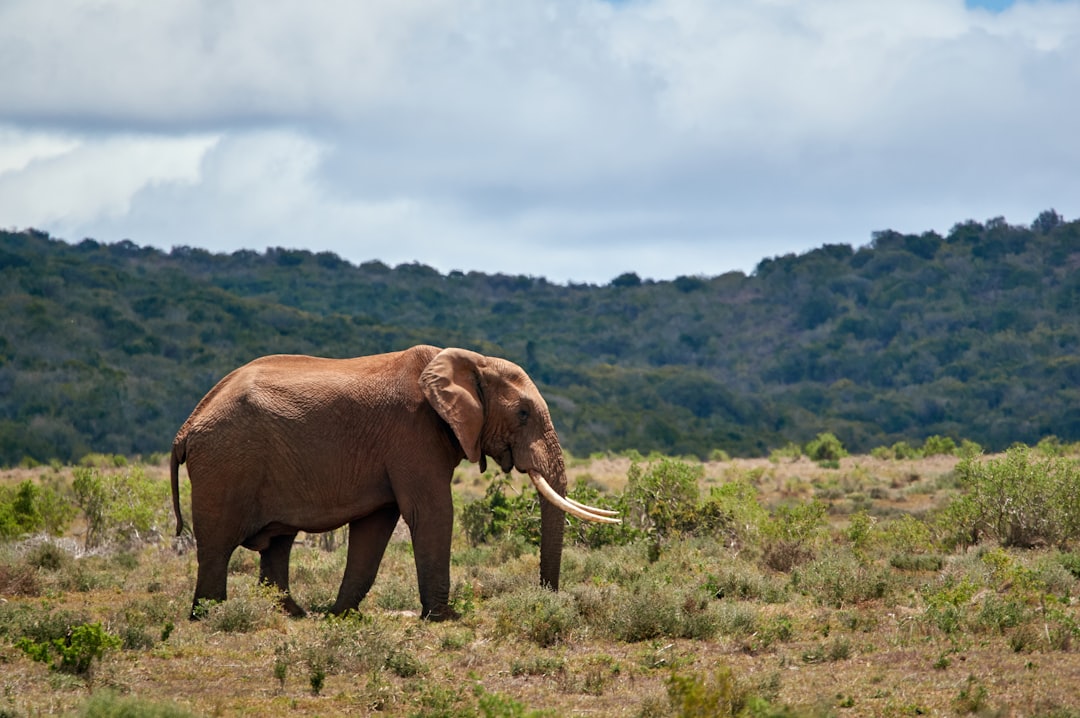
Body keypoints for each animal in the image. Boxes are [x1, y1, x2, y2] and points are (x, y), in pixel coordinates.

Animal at [172, 345, 622, 617]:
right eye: (524, 414)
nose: (547, 599)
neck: (469, 360)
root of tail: (187, 425)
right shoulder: (413, 433)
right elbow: (432, 512)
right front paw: (444, 617)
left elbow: (376, 526)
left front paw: (340, 615)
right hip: (226, 462)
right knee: (217, 545)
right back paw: (211, 616)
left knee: (277, 544)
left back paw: (293, 614)